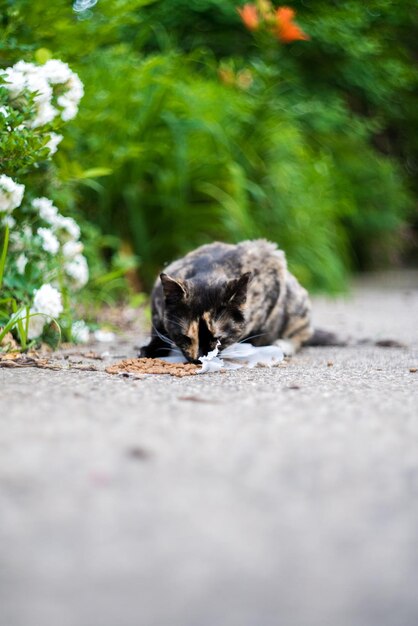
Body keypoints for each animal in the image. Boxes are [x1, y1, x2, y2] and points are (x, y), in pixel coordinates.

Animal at [139, 240, 318, 366]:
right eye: (184, 337)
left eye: (218, 339)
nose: (199, 358)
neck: (210, 271)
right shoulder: (157, 300)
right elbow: (157, 328)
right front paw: (152, 348)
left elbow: (264, 331)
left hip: (296, 303)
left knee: (303, 333)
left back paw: (283, 345)